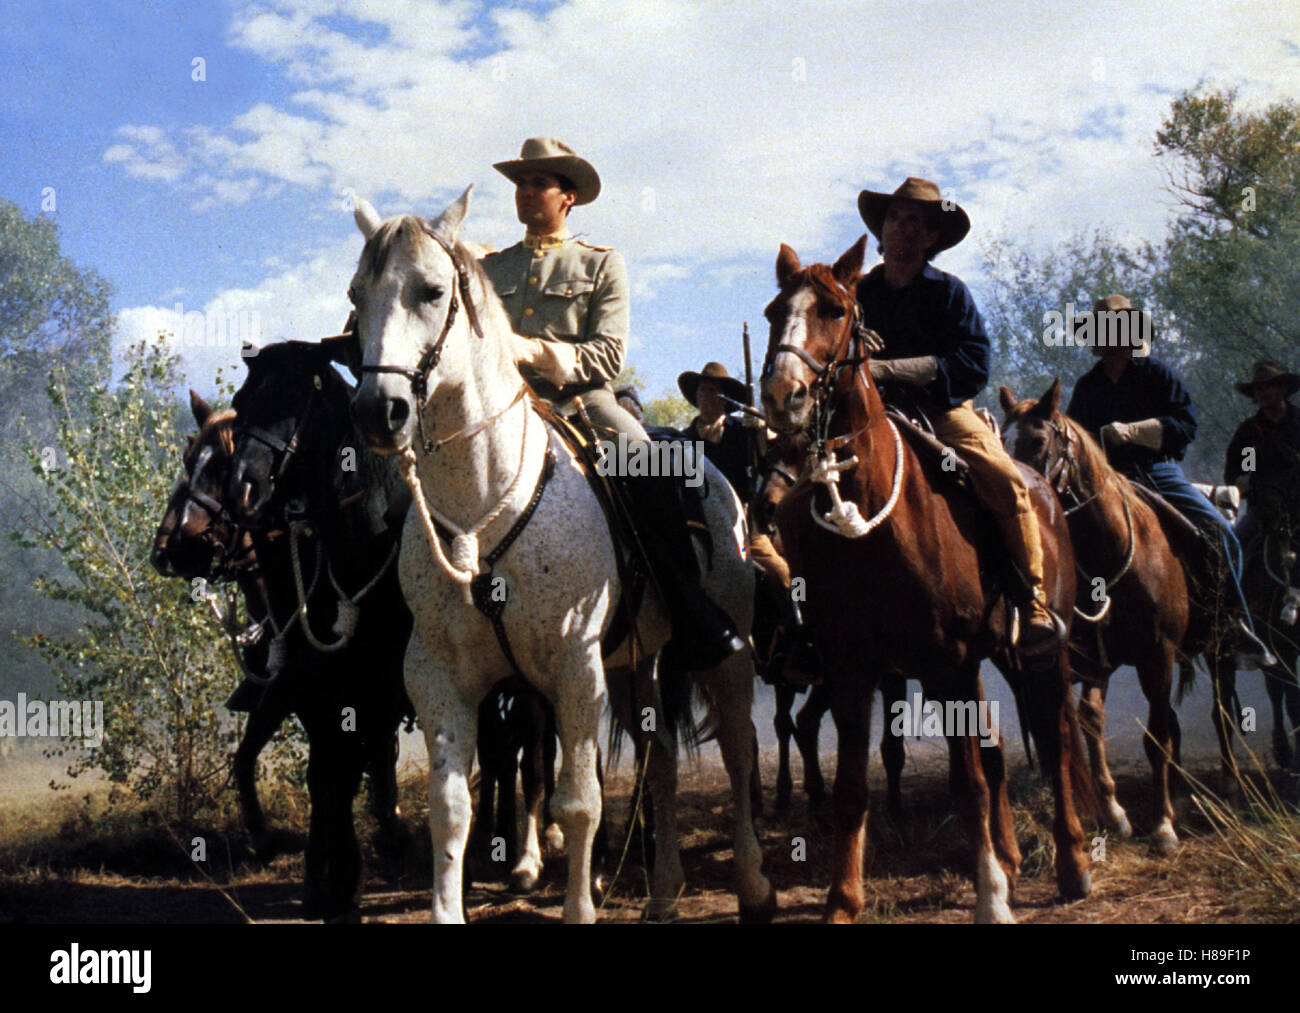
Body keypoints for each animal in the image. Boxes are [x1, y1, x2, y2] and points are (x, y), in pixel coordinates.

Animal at [345, 189, 769, 925]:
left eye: (431, 290)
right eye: (355, 295)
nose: (380, 409)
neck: (485, 503)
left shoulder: (575, 669)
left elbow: (578, 803)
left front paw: (579, 904)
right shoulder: (438, 677)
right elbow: (450, 808)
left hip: (728, 650)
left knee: (740, 748)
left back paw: (753, 885)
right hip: (635, 666)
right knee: (660, 761)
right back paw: (662, 892)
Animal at [759, 241, 1092, 920]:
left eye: (834, 310)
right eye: (775, 311)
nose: (784, 393)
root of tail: (1046, 493)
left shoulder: (948, 664)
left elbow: (969, 783)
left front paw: (991, 898)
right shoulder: (853, 670)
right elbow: (853, 788)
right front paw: (843, 901)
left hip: (1042, 653)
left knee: (1057, 738)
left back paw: (1071, 863)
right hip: (998, 658)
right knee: (1006, 748)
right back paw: (1013, 859)